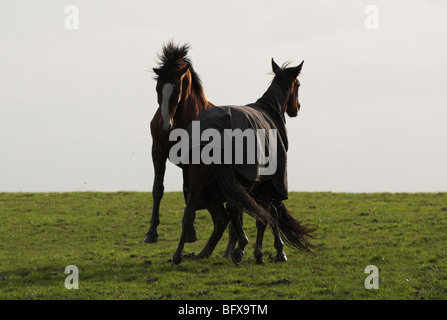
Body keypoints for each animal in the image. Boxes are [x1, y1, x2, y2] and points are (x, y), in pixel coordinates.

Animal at [144, 42, 214, 242]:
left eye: (177, 90)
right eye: (158, 89)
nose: (165, 124)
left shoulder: (192, 160)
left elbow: (189, 192)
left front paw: (189, 231)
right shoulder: (157, 152)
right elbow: (157, 189)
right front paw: (151, 232)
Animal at [172, 58, 316, 264]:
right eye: (298, 84)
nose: (297, 108)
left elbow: (268, 215)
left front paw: (274, 250)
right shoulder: (269, 184)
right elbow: (265, 217)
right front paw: (263, 253)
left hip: (197, 181)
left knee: (190, 212)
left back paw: (178, 255)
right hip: (243, 182)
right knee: (234, 207)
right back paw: (240, 248)